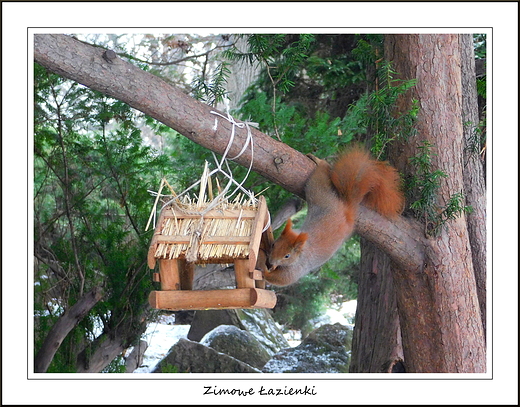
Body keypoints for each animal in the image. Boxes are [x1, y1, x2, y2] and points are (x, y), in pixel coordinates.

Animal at [266, 147, 404, 286]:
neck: (302, 249)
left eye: (287, 256)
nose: (271, 261)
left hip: (318, 192)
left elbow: (283, 279)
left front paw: (265, 271)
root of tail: (346, 208)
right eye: (273, 245)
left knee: (320, 176)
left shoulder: (299, 267)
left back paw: (320, 162)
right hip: (321, 197)